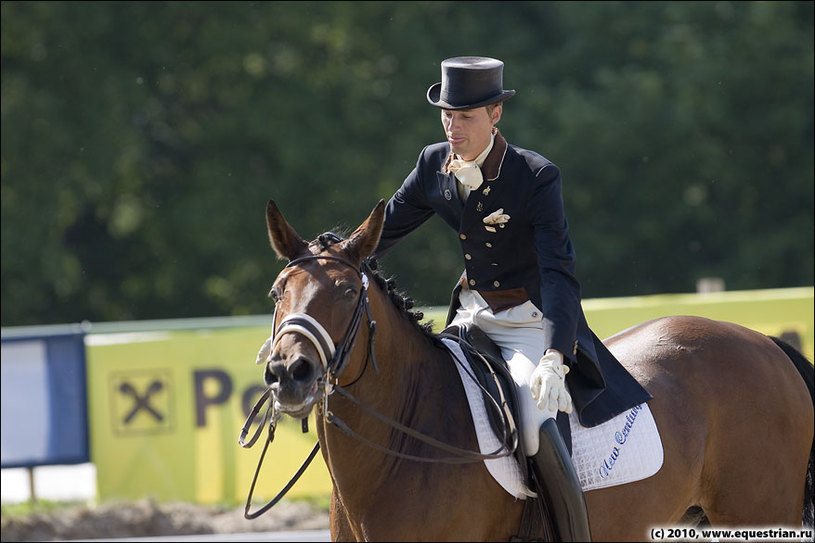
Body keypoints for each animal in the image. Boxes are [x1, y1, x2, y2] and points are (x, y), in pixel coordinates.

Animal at [258, 201, 812, 543]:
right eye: (277, 292)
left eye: (348, 292)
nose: (290, 374)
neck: (406, 438)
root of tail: (766, 343)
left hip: (759, 512)